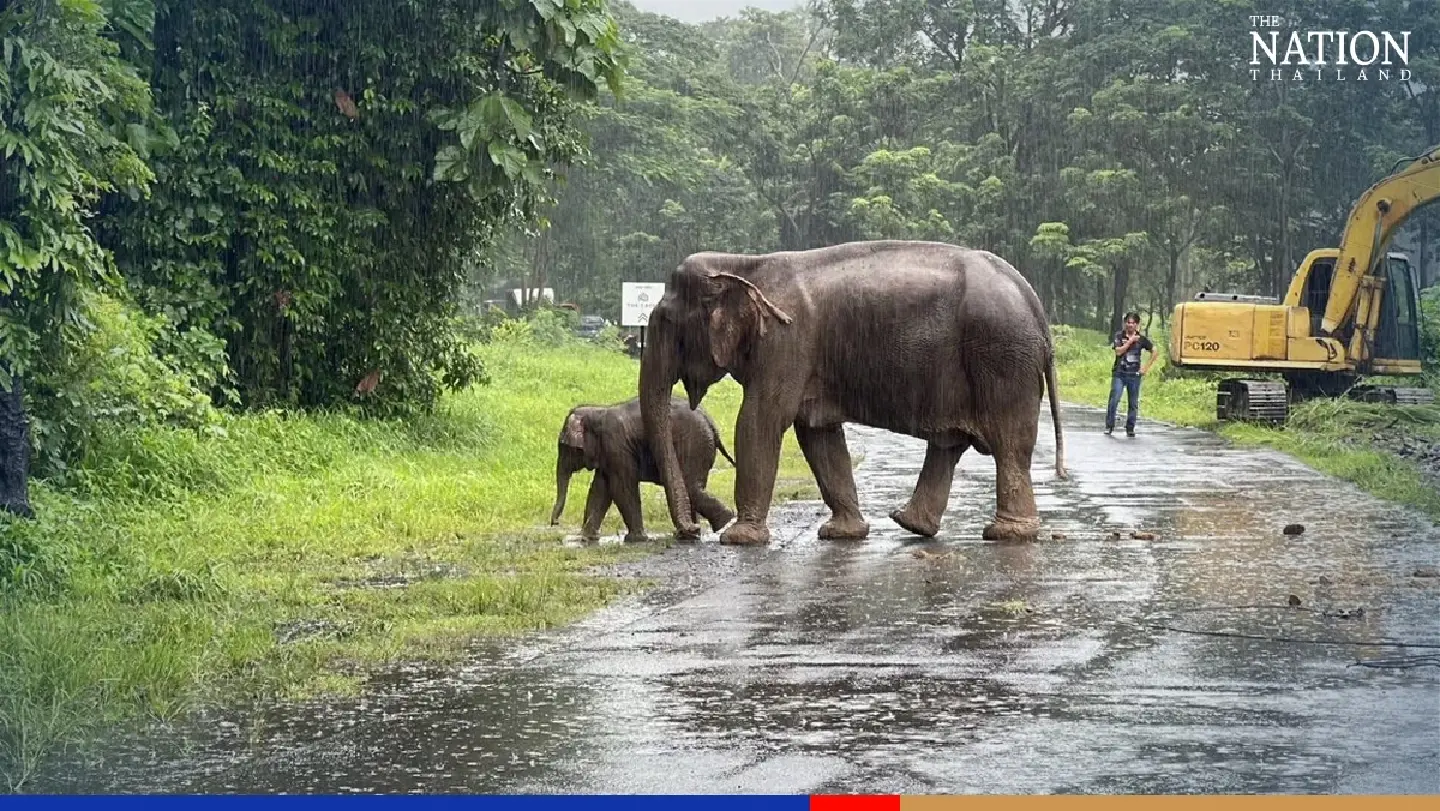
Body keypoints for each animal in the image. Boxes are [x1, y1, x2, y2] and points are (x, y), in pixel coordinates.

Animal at [550, 396, 737, 543]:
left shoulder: (616, 445)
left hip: (694, 445)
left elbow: (621, 488)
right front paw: (586, 538)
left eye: (564, 447)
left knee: (690, 486)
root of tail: (710, 422)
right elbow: (600, 490)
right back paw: (690, 534)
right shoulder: (608, 454)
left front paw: (635, 539)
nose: (554, 523)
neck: (598, 411)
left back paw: (724, 522)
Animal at [637, 239, 1067, 547]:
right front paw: (842, 534)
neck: (743, 263)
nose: (690, 532)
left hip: (1001, 358)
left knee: (1009, 443)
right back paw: (912, 524)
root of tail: (1033, 302)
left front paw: (739, 539)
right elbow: (817, 434)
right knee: (951, 443)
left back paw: (1006, 534)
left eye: (667, 322)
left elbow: (760, 421)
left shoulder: (786, 343)